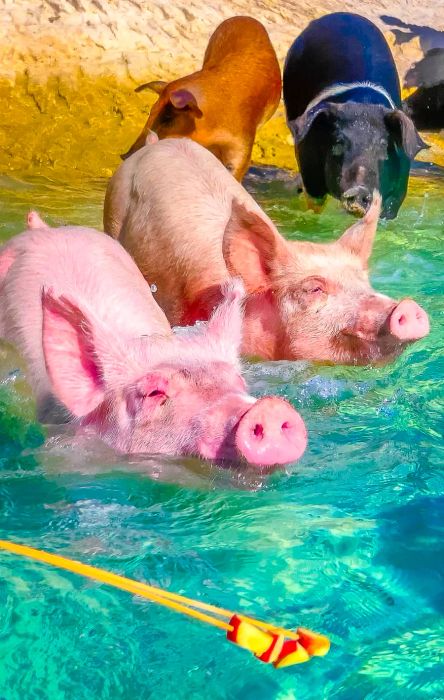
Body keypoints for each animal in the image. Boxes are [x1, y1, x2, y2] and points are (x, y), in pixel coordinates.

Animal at [282, 11, 428, 219]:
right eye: (338, 142)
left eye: (383, 144)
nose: (359, 190)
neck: (363, 104)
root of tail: (342, 14)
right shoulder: (309, 167)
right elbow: (315, 204)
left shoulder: (398, 188)